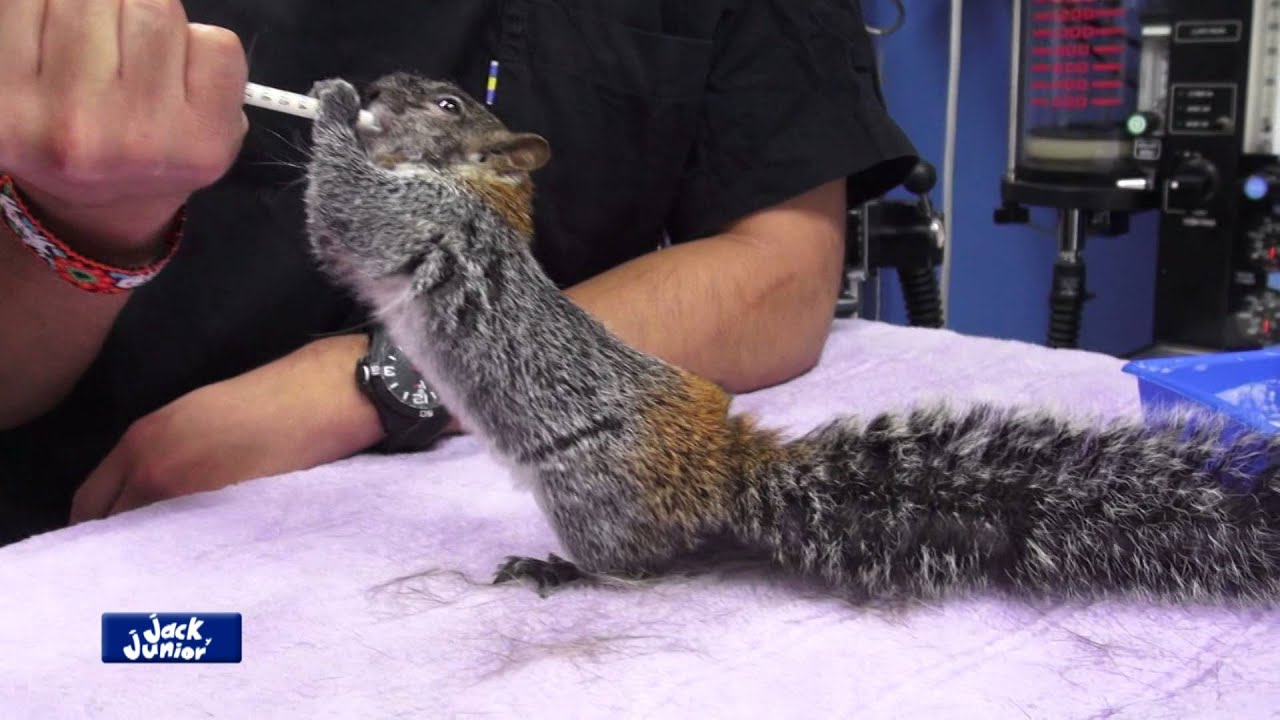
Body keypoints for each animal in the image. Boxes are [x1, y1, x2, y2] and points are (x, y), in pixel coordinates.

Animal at [301, 73, 1280, 605]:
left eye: (447, 101)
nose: (378, 90)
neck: (476, 188)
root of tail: (722, 475)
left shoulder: (418, 221)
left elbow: (342, 206)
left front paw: (334, 110)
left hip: (589, 496)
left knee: (638, 571)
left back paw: (557, 570)